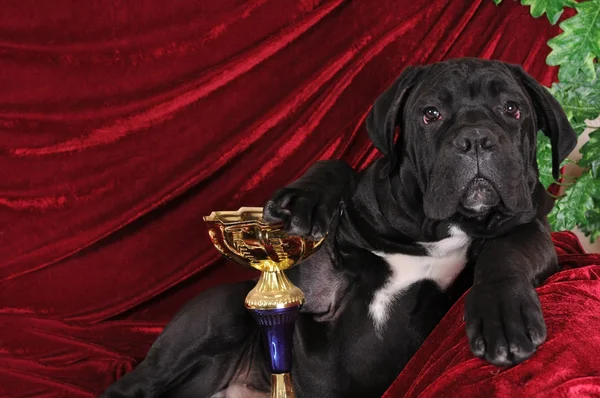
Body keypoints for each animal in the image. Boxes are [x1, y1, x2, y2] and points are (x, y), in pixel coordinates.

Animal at [102, 59, 576, 398]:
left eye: (513, 109)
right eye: (430, 114)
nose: (475, 138)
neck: (435, 230)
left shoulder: (530, 227)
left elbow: (507, 248)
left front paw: (502, 314)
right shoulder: (314, 288)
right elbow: (340, 166)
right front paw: (303, 201)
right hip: (222, 310)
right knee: (132, 385)